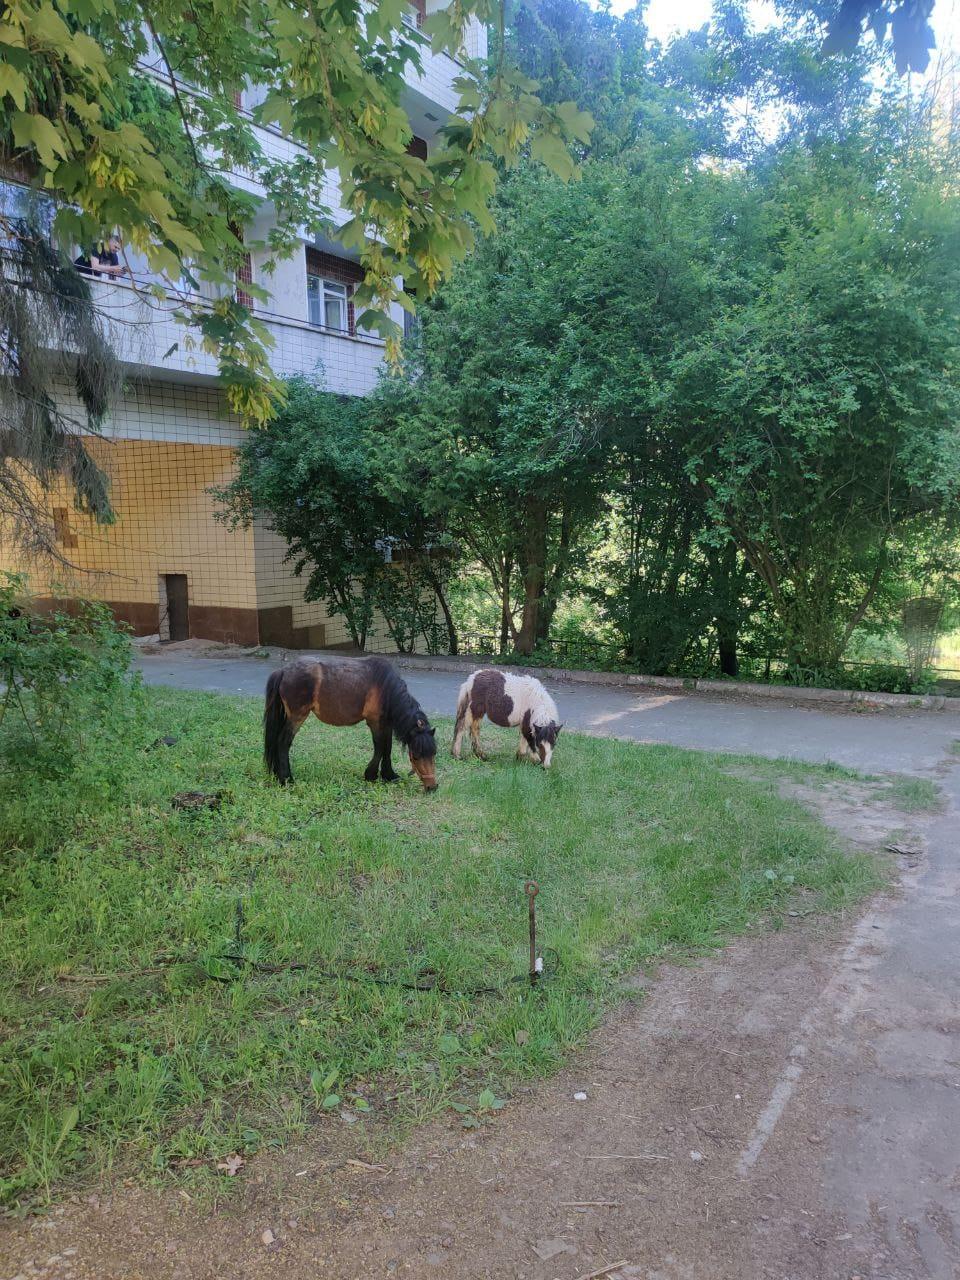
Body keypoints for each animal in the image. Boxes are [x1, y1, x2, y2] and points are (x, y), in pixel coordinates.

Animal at [264, 660, 442, 788]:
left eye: (434, 754)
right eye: (416, 756)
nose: (432, 787)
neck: (385, 688)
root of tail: (283, 671)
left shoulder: (386, 724)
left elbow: (387, 748)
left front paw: (389, 775)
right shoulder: (374, 722)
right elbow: (380, 748)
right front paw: (371, 775)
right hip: (297, 717)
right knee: (283, 743)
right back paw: (287, 779)